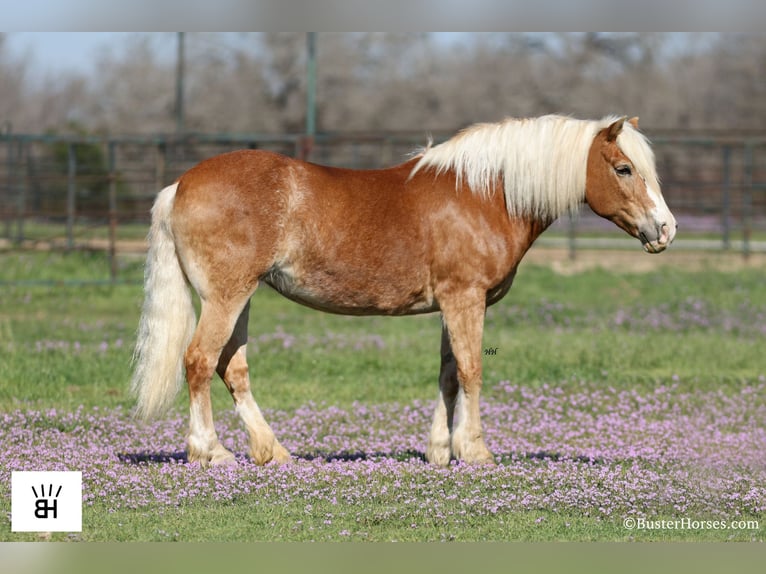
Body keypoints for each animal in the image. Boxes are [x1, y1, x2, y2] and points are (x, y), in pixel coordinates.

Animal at [130, 115, 680, 470]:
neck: (484, 194)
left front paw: (440, 451)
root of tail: (179, 185)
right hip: (226, 297)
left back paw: (273, 452)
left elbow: (449, 373)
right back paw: (212, 452)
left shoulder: (452, 304)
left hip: (238, 298)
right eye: (624, 169)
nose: (667, 229)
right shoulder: (465, 299)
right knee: (200, 361)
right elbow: (472, 369)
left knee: (232, 368)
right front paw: (475, 450)